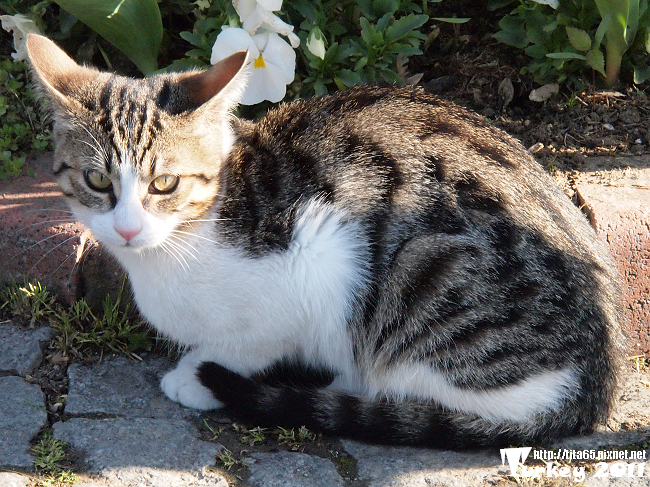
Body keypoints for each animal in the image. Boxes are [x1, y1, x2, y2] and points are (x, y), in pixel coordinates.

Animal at [26, 33, 624, 446]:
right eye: (97, 180)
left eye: (164, 183)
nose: (127, 227)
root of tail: (599, 381)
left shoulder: (316, 256)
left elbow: (257, 340)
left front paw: (199, 374)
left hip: (426, 274)